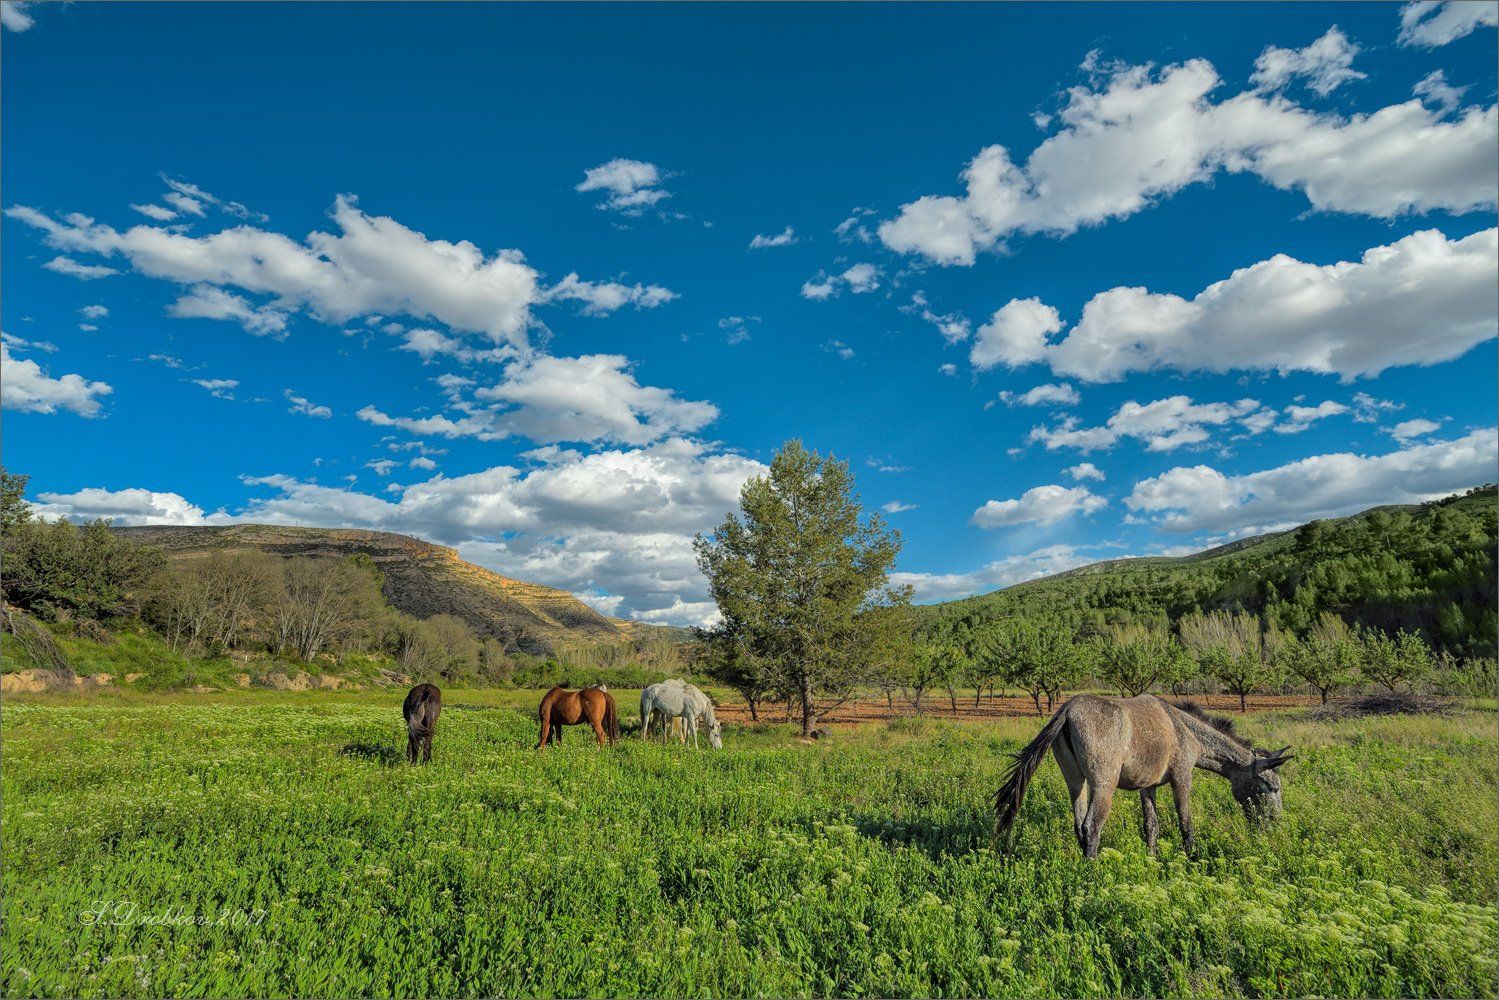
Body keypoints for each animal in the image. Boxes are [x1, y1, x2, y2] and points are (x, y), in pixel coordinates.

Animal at [995, 695, 1289, 863]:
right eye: (1269, 787)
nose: (1274, 827)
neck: (1183, 728)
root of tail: (1067, 711)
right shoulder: (1182, 778)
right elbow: (1185, 822)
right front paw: (1192, 857)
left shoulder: (1148, 787)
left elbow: (1151, 825)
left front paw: (1151, 858)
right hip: (1103, 787)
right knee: (1092, 826)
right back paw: (1092, 873)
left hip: (1076, 783)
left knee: (1079, 825)